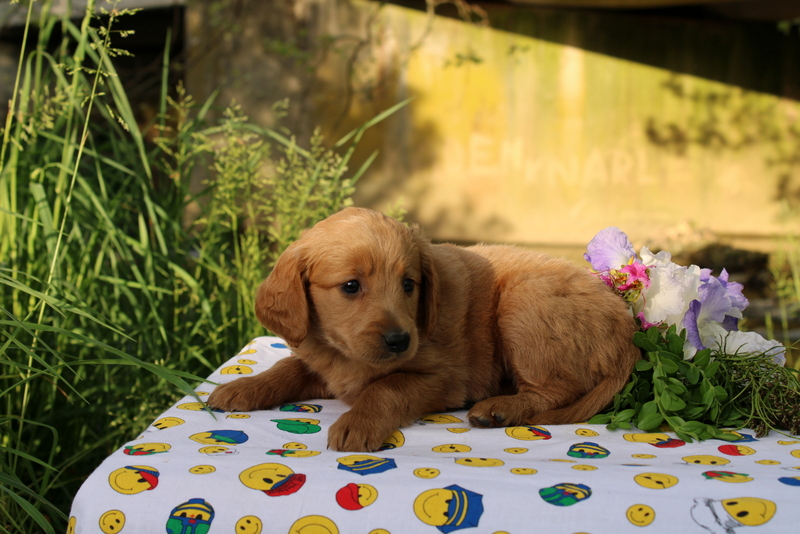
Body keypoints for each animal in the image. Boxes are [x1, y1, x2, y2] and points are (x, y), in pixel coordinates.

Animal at [208, 209, 644, 452]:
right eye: (350, 286)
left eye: (408, 284)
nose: (400, 341)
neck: (342, 355)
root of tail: (627, 329)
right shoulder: (329, 368)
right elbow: (289, 367)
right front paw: (241, 388)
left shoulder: (444, 378)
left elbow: (386, 387)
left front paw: (356, 424)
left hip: (524, 300)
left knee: (558, 388)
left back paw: (499, 409)